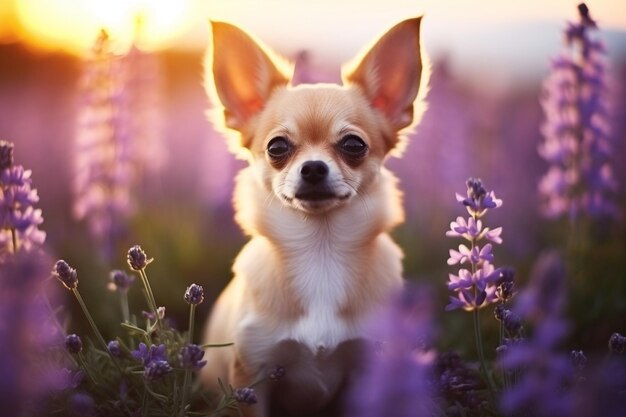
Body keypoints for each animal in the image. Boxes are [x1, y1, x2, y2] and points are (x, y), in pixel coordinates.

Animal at [202, 17, 426, 416]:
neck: (321, 250)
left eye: (354, 145)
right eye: (277, 147)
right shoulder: (251, 375)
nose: (313, 168)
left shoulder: (367, 371)